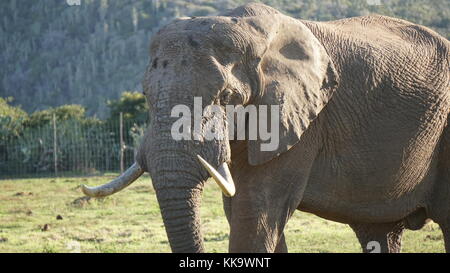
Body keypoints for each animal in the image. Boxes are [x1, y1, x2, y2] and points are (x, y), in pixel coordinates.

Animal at [81, 3, 450, 252]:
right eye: (145, 94)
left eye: (227, 97)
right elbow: (243, 212)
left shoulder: (302, 121)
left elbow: (255, 210)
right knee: (379, 232)